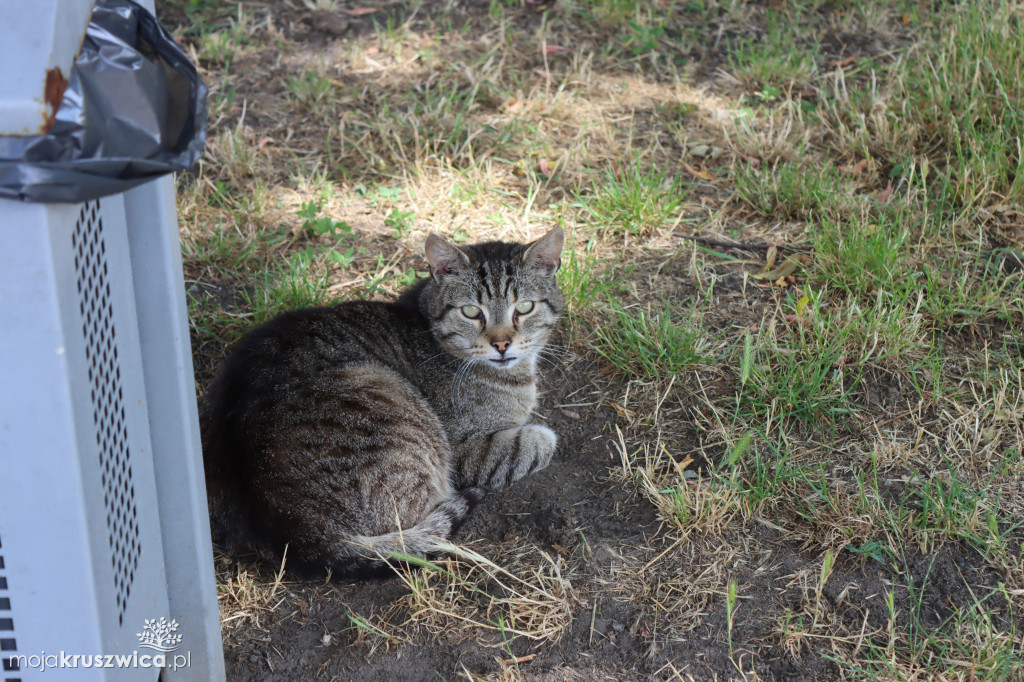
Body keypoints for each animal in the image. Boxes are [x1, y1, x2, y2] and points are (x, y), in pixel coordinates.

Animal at [199, 227, 569, 573]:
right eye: (470, 311)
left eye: (524, 307)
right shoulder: (471, 452)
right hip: (383, 396)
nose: (502, 344)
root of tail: (299, 538)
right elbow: (541, 440)